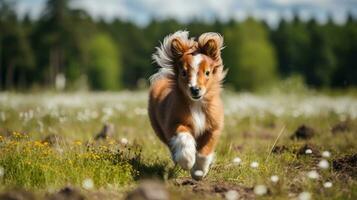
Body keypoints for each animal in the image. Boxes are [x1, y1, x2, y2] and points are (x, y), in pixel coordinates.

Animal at [147, 30, 225, 180]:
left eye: (207, 72)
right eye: (183, 72)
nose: (195, 89)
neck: (197, 104)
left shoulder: (213, 127)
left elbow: (205, 151)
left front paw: (198, 171)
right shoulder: (174, 122)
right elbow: (184, 137)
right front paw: (187, 160)